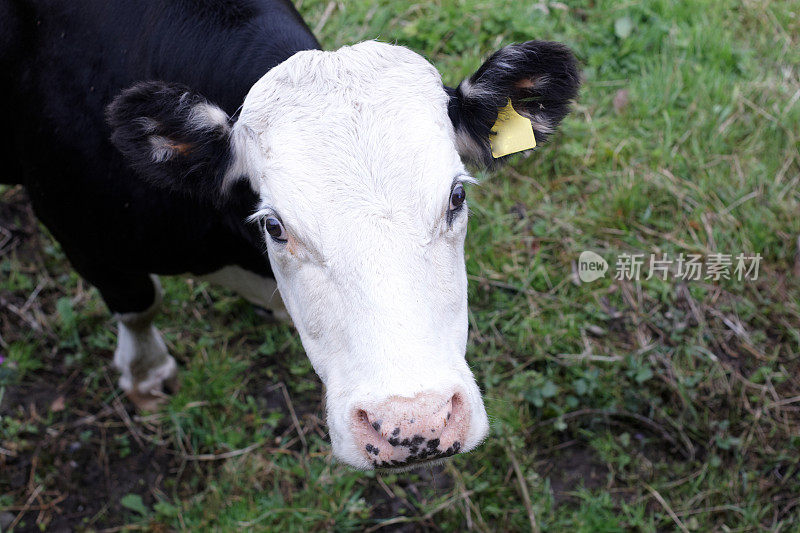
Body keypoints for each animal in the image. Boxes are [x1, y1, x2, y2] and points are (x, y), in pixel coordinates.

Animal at [0, 0, 580, 468]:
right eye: (275, 226)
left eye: (456, 196)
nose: (416, 423)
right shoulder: (81, 233)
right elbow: (139, 303)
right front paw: (148, 377)